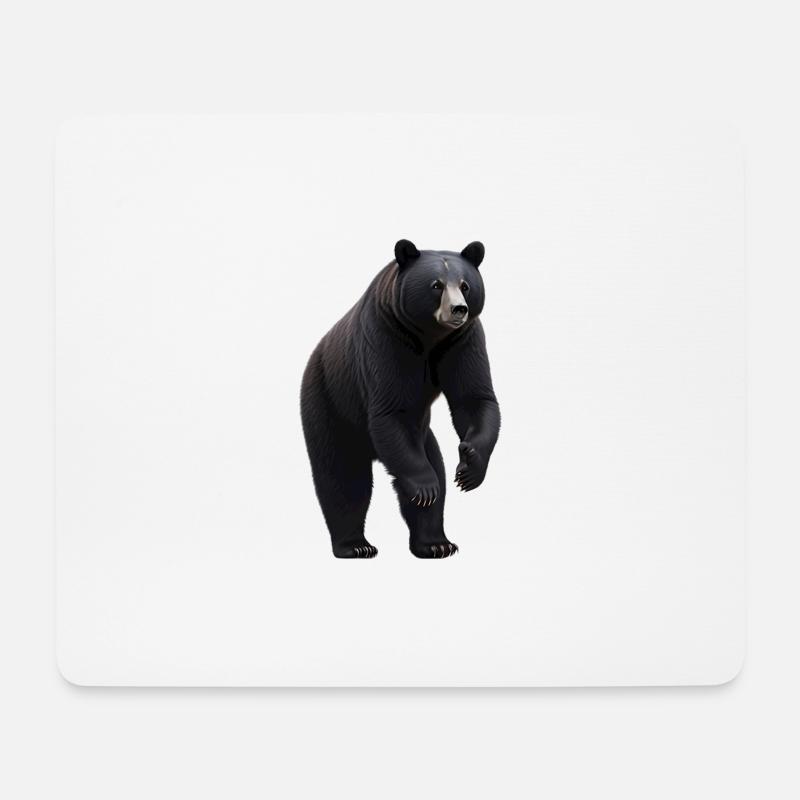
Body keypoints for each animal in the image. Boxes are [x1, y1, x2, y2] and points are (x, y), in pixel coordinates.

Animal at [300, 239, 501, 559]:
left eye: (466, 285)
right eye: (436, 285)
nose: (458, 309)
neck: (429, 336)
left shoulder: (462, 341)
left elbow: (473, 398)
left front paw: (469, 467)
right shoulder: (384, 338)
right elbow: (390, 409)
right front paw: (425, 487)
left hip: (420, 434)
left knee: (433, 465)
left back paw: (435, 543)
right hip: (330, 400)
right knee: (343, 475)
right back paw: (355, 545)